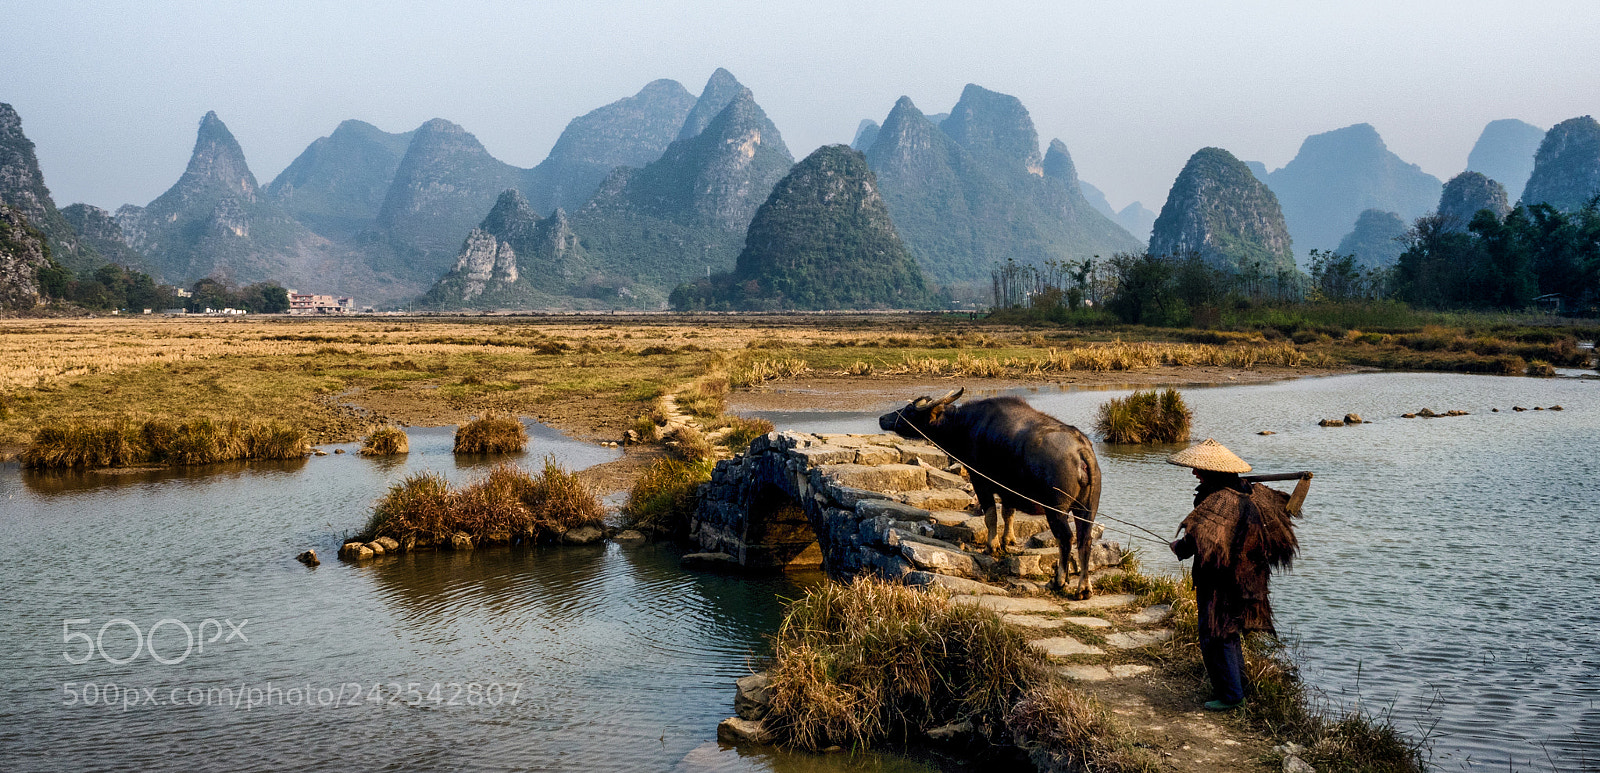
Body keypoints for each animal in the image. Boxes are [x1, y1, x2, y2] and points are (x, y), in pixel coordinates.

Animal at [879, 388, 1103, 598]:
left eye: (909, 411)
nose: (882, 419)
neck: (965, 425)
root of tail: (1082, 452)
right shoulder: (1009, 489)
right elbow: (1008, 513)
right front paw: (1008, 540)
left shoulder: (981, 482)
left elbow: (991, 516)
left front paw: (991, 545)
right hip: (1087, 510)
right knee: (1085, 540)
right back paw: (1084, 587)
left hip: (1056, 510)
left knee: (1066, 539)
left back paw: (1059, 581)